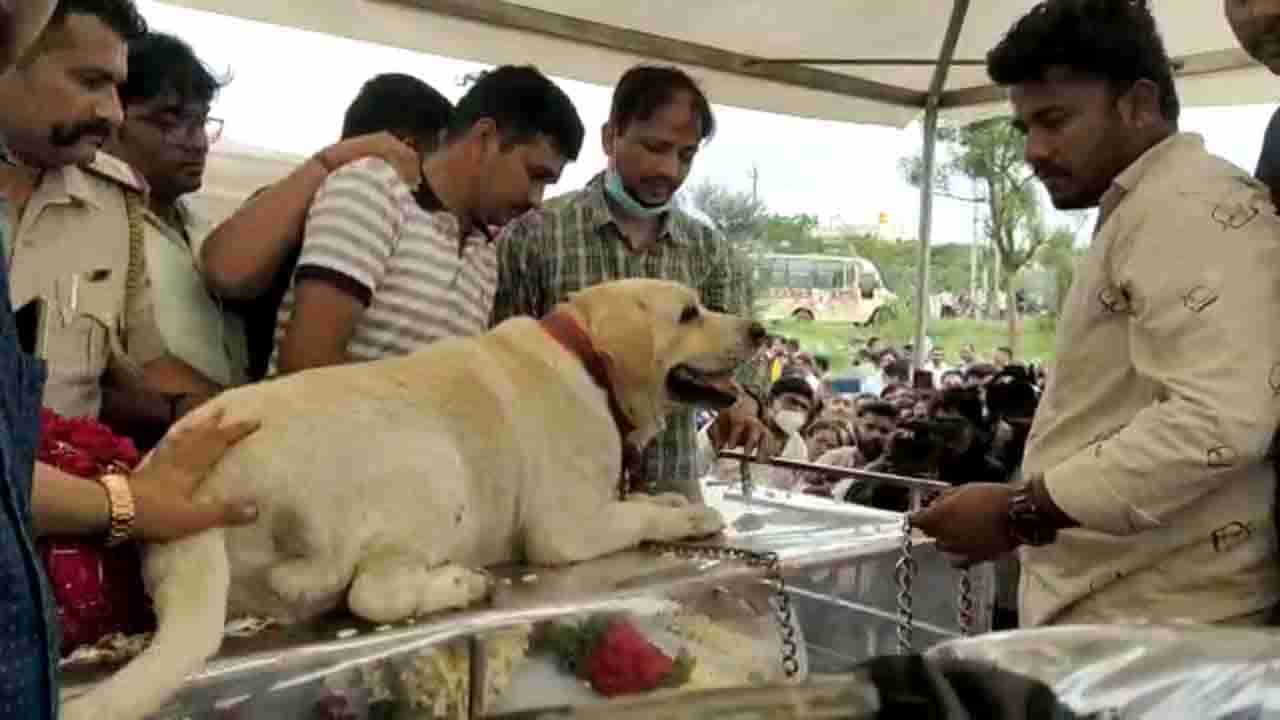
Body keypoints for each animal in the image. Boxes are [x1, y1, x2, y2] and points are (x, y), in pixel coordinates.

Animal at [70, 278, 762, 717]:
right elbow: (634, 515)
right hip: (434, 461)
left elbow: (645, 502)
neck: (589, 360)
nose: (758, 328)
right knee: (372, 594)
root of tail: (204, 489)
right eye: (689, 313)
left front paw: (674, 504)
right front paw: (688, 516)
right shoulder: (565, 529)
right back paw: (459, 582)